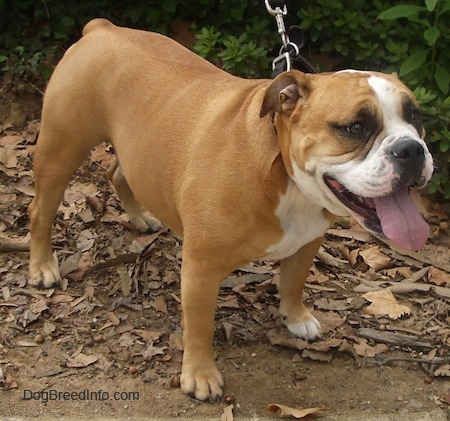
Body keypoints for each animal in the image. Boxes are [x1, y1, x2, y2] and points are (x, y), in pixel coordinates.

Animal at [29, 19, 432, 400]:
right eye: (355, 127)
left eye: (416, 118)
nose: (411, 148)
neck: (285, 176)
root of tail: (100, 29)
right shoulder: (201, 269)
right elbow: (200, 325)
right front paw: (200, 375)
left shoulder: (307, 242)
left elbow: (293, 281)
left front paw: (296, 317)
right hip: (60, 151)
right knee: (40, 211)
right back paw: (43, 266)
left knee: (117, 172)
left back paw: (141, 216)